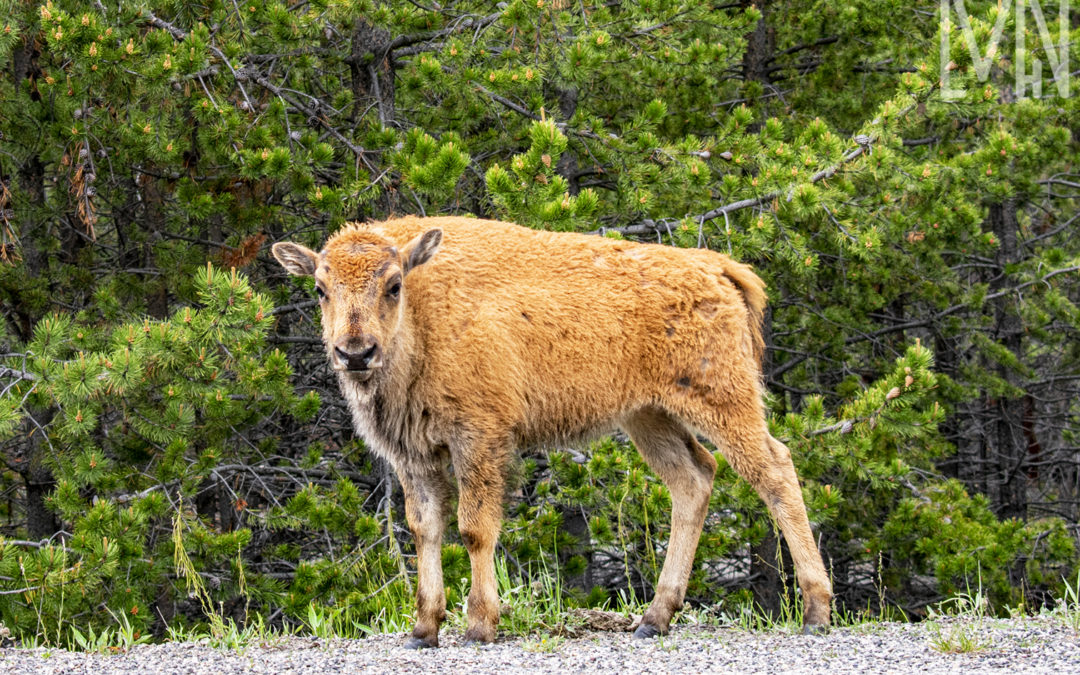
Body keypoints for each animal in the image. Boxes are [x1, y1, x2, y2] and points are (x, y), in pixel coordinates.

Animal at [274, 217, 829, 648]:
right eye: (320, 289)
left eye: (393, 285)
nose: (355, 353)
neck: (425, 313)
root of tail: (715, 267)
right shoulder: (416, 457)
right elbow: (424, 528)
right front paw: (423, 629)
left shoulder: (479, 440)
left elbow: (474, 528)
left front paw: (480, 626)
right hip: (648, 417)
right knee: (693, 479)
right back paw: (654, 619)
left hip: (722, 401)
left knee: (774, 471)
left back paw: (816, 612)